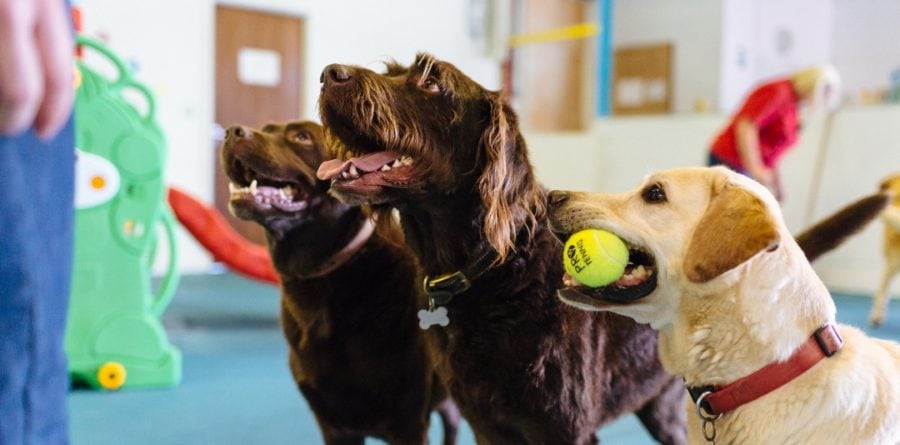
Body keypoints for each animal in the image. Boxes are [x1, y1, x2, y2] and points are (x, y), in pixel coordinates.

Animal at [320, 55, 684, 444]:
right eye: (390, 72)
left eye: (431, 82)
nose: (328, 74)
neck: (493, 267)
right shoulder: (486, 424)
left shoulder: (563, 427)